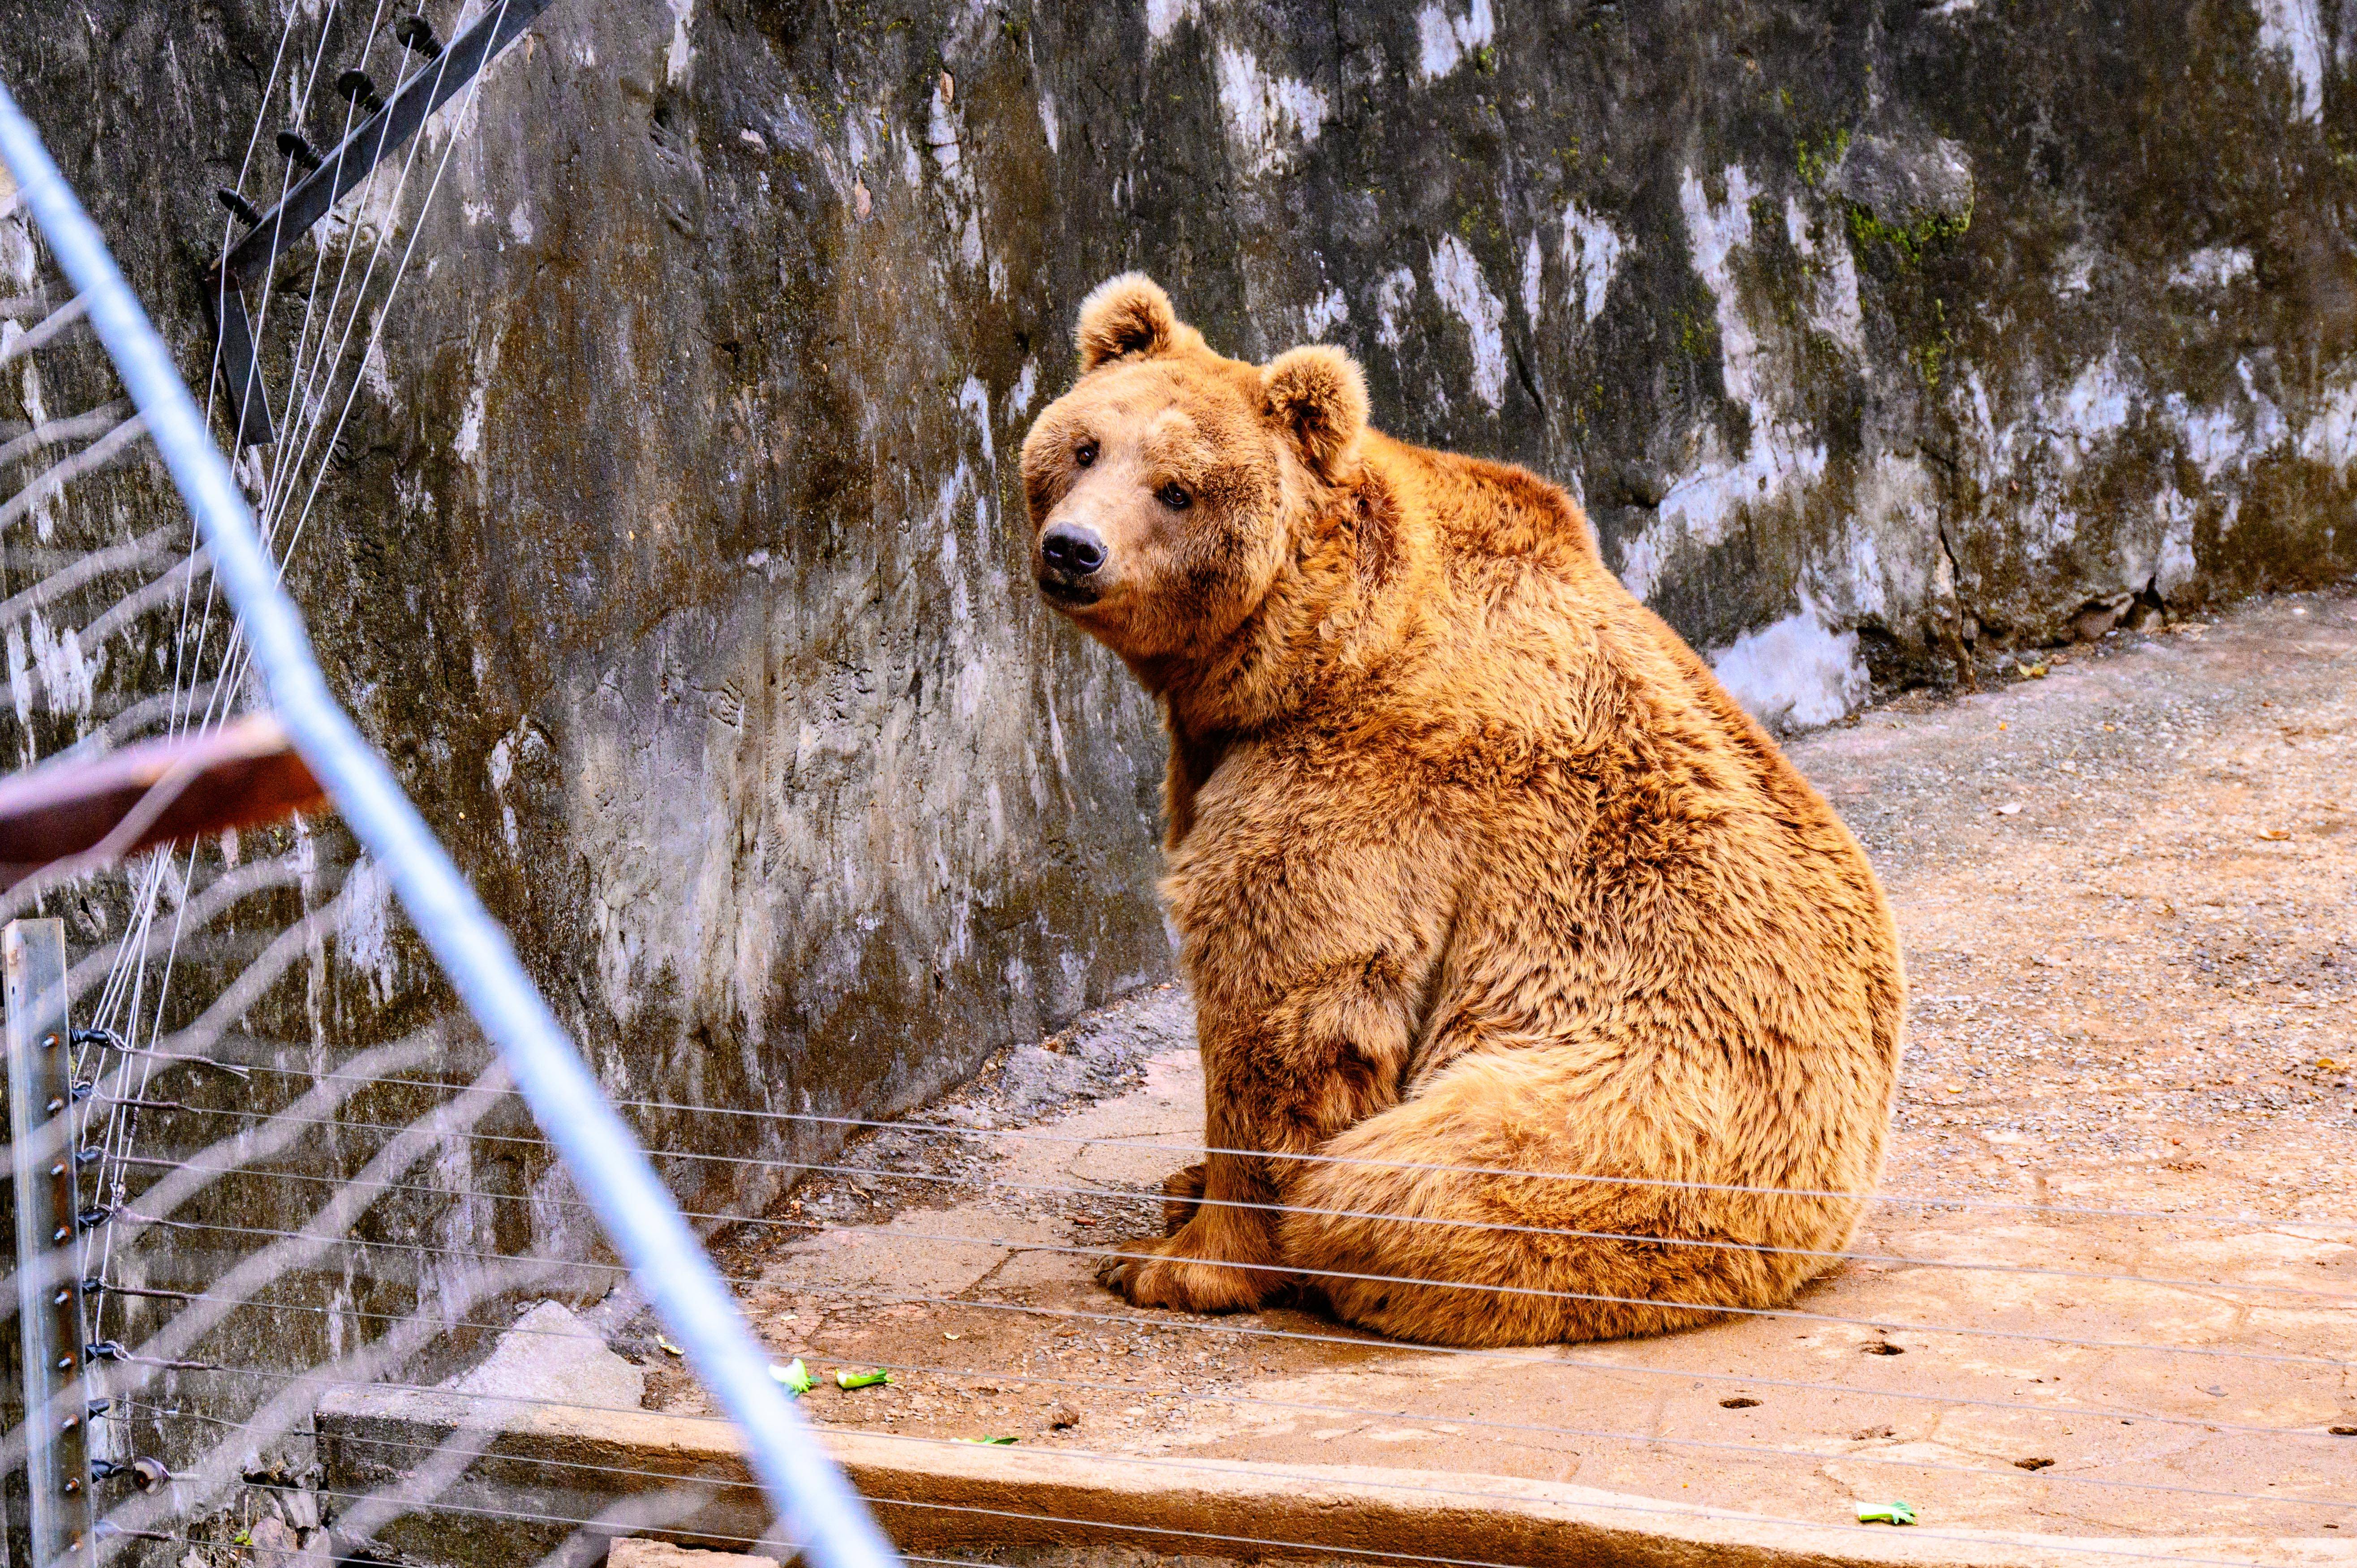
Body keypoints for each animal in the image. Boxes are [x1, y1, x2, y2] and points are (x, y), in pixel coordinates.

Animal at [1023, 272, 1904, 1349]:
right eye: (1086, 446)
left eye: (1178, 488)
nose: (1074, 549)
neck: (1299, 648)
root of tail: (1832, 1210)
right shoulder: (1218, 752)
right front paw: (1183, 1192)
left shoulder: (1371, 778)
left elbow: (1289, 998)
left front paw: (1177, 1260)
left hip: (1643, 1105)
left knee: (1405, 1184)